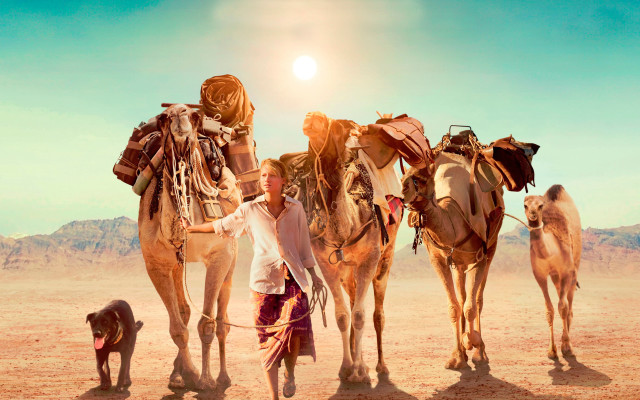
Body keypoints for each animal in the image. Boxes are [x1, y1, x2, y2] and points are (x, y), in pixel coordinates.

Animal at [138, 104, 242, 391]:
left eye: (195, 118)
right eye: (163, 119)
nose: (179, 115)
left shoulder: (220, 255)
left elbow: (208, 323)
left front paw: (207, 380)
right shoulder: (156, 264)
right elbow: (178, 328)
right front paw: (192, 374)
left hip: (232, 258)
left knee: (223, 319)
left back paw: (224, 377)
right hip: (177, 264)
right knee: (184, 311)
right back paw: (178, 374)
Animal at [283, 112, 401, 383]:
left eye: (336, 127)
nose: (311, 116)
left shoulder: (369, 259)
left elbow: (360, 316)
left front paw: (359, 372)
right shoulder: (326, 263)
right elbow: (342, 316)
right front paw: (348, 368)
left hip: (385, 260)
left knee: (377, 314)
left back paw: (380, 366)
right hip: (348, 270)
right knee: (353, 300)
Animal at [401, 154, 504, 369]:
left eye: (422, 179)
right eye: (402, 176)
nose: (403, 190)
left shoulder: (479, 259)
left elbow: (471, 307)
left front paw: (473, 343)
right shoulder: (438, 260)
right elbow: (454, 307)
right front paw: (457, 356)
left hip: (491, 248)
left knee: (477, 299)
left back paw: (479, 351)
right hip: (458, 263)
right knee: (463, 297)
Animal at [524, 184, 581, 359]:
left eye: (540, 205)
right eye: (525, 205)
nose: (533, 215)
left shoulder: (566, 271)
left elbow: (562, 307)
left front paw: (567, 347)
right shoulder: (540, 275)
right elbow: (549, 310)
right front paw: (551, 350)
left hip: (574, 267)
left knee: (569, 306)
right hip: (556, 277)